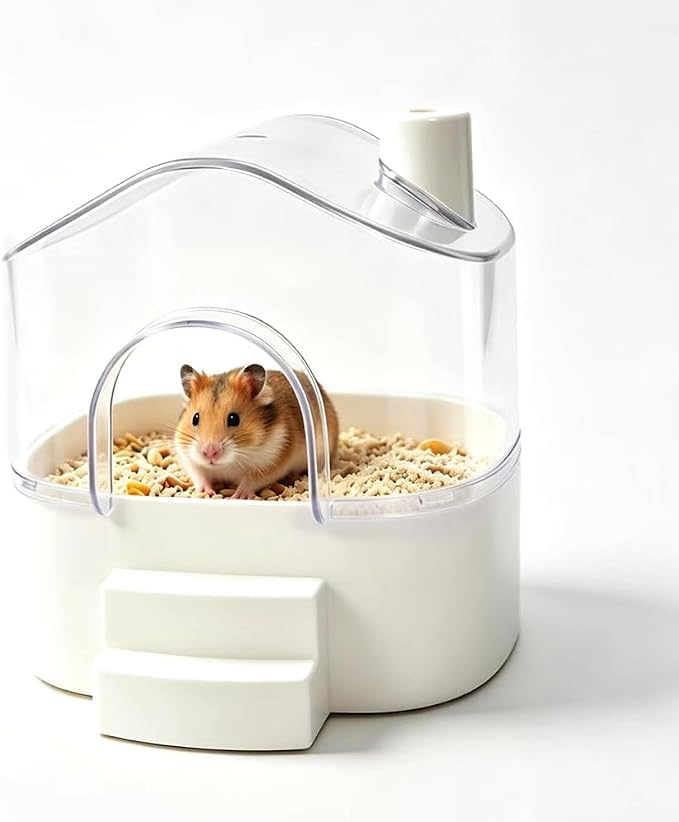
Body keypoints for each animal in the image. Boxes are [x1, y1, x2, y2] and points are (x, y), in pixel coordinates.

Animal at [174, 363, 339, 498]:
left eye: (234, 419)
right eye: (195, 418)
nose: (209, 453)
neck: (228, 463)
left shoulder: (272, 461)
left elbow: (250, 481)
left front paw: (237, 496)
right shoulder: (189, 458)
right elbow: (200, 476)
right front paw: (206, 492)